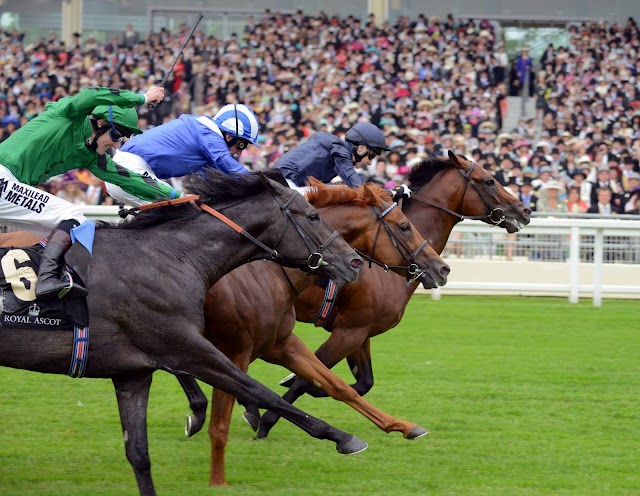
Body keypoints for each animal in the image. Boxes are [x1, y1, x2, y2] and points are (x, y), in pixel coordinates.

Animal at [1, 170, 370, 496]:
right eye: (312, 216)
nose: (354, 263)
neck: (168, 258)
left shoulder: (133, 373)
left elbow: (139, 454)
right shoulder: (186, 347)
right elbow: (261, 391)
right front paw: (343, 437)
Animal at [238, 152, 532, 438]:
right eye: (489, 180)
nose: (525, 210)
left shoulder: (360, 332)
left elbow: (362, 382)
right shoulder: (348, 332)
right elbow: (308, 379)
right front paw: (265, 420)